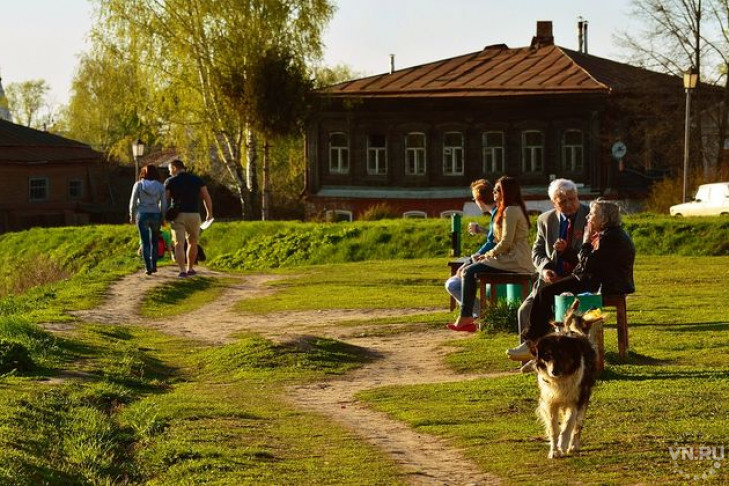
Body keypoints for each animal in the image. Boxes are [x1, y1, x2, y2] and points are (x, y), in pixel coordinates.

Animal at [528, 300, 604, 460]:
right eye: (547, 356)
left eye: (563, 355)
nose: (554, 372)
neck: (562, 379)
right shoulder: (550, 401)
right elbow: (554, 428)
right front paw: (554, 450)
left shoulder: (576, 399)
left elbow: (568, 425)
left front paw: (563, 446)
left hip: (584, 398)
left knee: (577, 425)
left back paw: (573, 446)